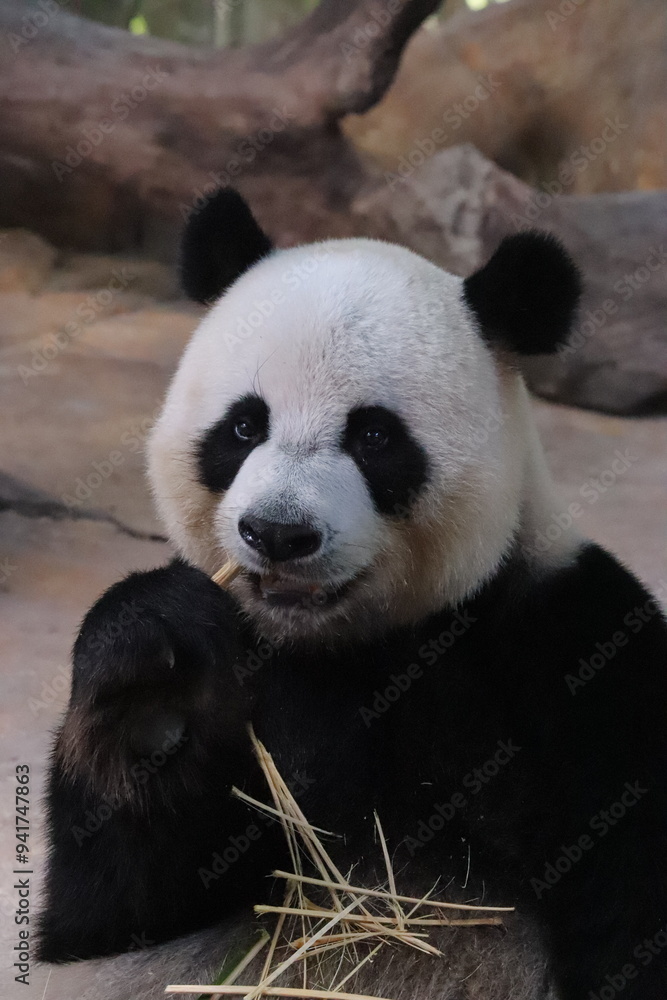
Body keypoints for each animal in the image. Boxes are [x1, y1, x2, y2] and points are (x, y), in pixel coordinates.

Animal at [38, 189, 667, 1000]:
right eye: (244, 426)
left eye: (373, 437)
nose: (278, 532)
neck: (351, 647)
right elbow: (109, 917)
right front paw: (154, 686)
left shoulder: (575, 648)